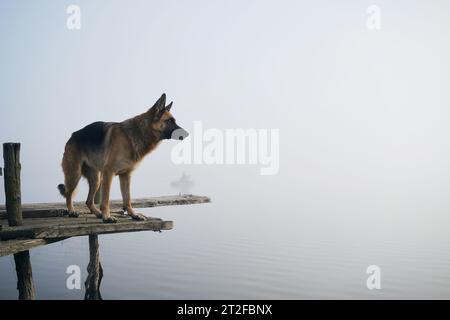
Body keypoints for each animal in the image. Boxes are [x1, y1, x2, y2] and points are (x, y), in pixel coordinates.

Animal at [58, 93, 188, 222]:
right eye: (169, 121)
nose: (187, 134)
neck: (138, 132)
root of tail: (72, 135)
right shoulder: (108, 173)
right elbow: (106, 199)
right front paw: (107, 216)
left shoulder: (126, 175)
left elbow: (127, 198)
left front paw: (133, 214)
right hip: (75, 175)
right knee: (69, 194)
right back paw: (72, 211)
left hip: (96, 180)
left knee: (88, 201)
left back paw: (97, 213)